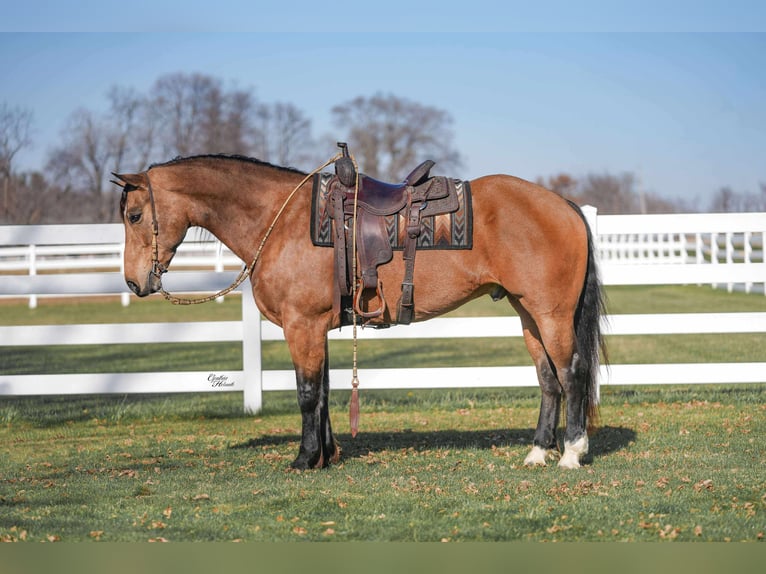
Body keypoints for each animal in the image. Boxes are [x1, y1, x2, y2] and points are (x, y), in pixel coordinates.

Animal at [114, 153, 607, 470]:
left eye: (134, 216)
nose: (136, 283)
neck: (282, 220)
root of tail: (563, 205)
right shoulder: (317, 328)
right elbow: (325, 391)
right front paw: (326, 454)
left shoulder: (302, 326)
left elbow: (307, 392)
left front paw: (304, 459)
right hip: (528, 315)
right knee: (547, 379)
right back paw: (538, 452)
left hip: (551, 314)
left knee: (571, 373)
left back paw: (570, 454)